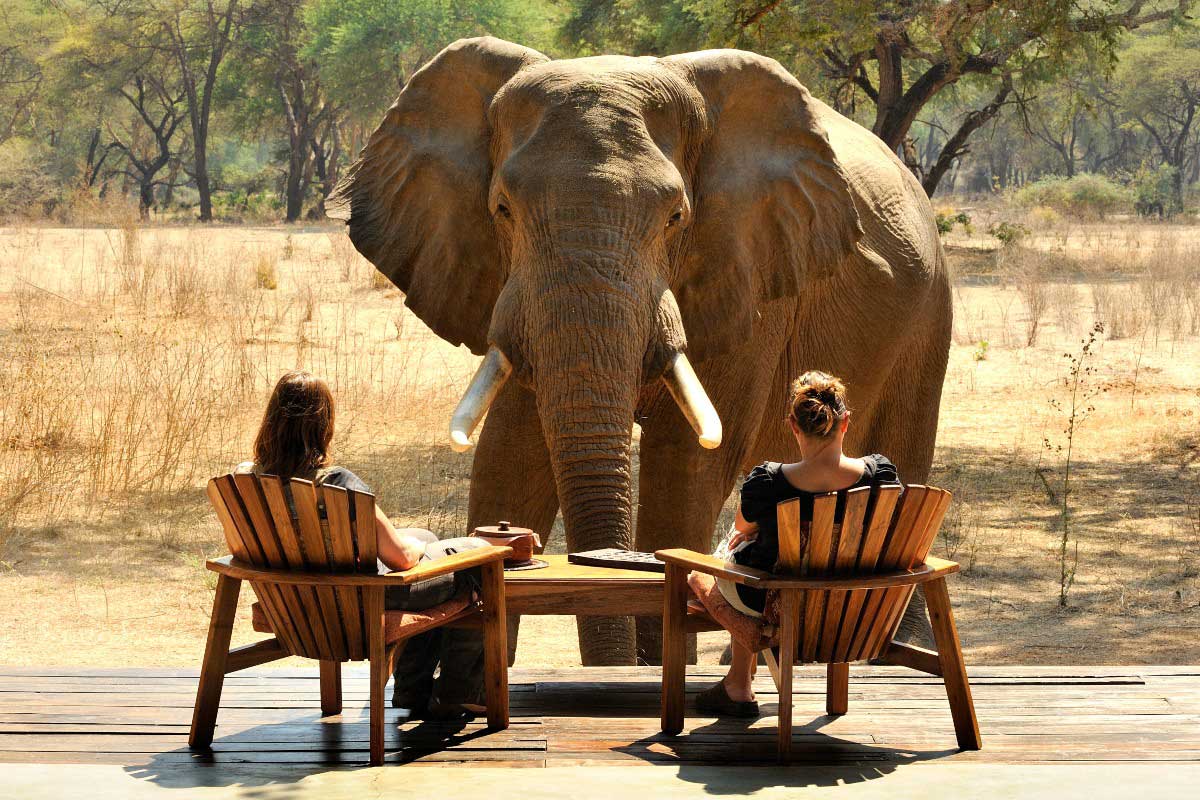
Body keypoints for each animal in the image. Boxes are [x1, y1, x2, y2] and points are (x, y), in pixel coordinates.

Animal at [326, 35, 945, 662]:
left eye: (676, 217)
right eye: (502, 209)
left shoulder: (747, 270)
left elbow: (688, 461)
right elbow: (511, 450)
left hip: (928, 313)